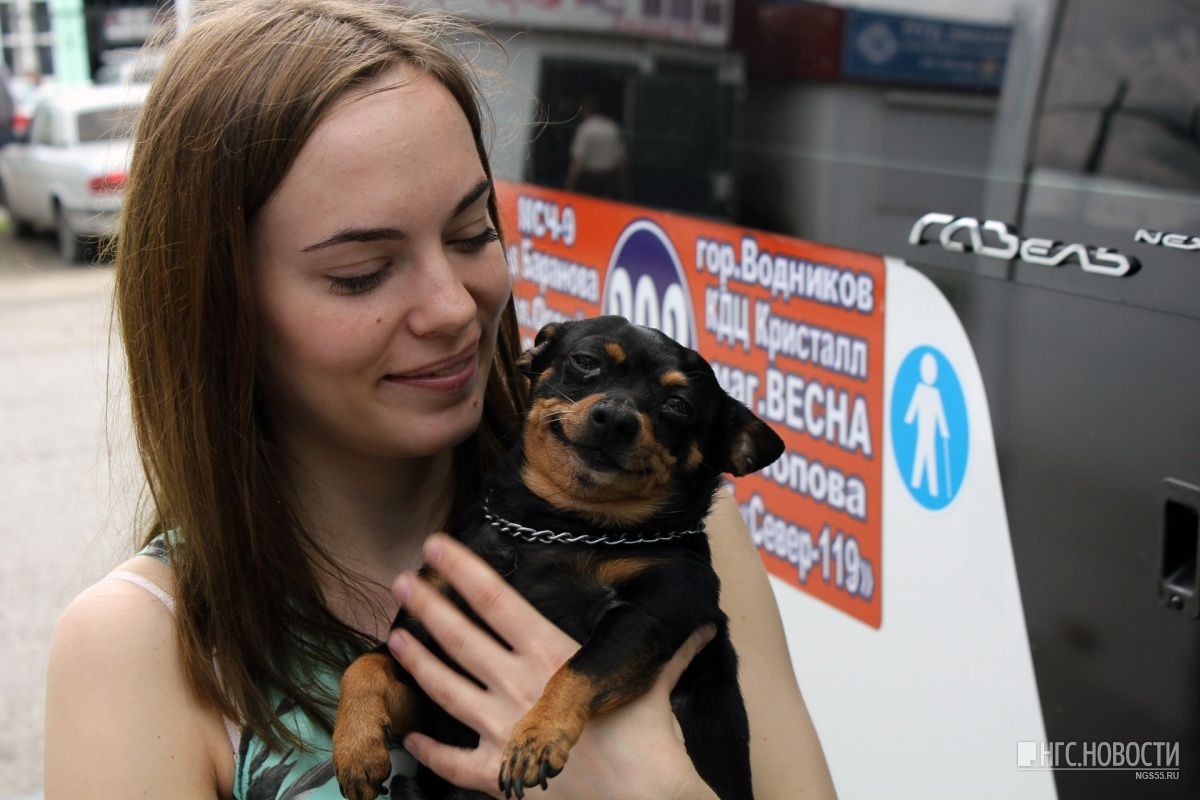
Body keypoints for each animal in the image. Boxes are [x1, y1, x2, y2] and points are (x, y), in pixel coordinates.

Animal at [336, 316, 787, 796]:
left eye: (679, 405)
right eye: (585, 361)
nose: (616, 418)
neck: (559, 525)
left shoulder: (647, 614)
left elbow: (579, 667)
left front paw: (537, 734)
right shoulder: (426, 664)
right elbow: (366, 665)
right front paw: (355, 747)